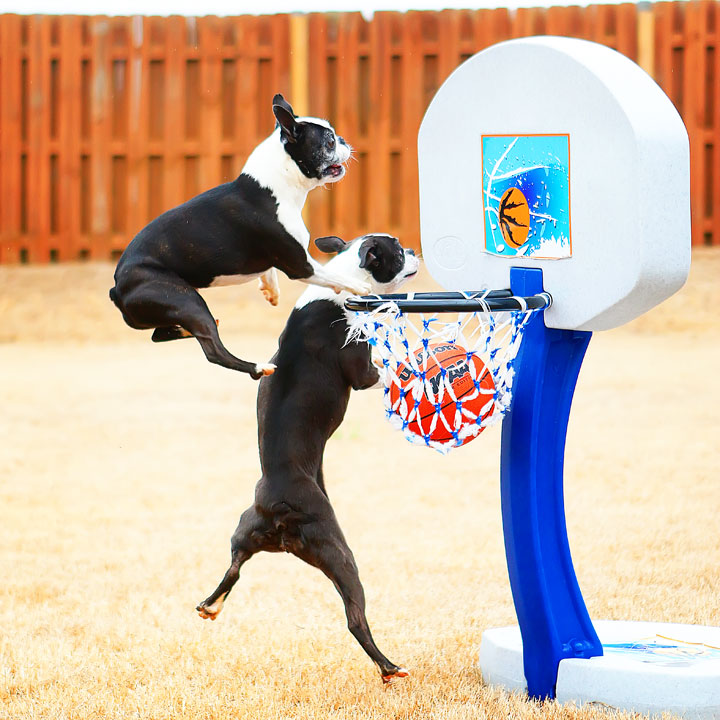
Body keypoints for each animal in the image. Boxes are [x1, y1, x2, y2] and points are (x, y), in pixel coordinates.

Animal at [109, 94, 368, 382]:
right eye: (330, 141)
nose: (344, 140)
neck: (277, 187)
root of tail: (117, 286)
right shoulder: (301, 266)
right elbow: (337, 276)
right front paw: (360, 287)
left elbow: (268, 270)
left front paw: (270, 289)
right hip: (187, 300)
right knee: (213, 350)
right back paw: (257, 367)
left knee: (160, 334)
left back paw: (184, 330)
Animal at [198, 233, 422, 684]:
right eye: (396, 250)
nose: (414, 251)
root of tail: (278, 506)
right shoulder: (361, 373)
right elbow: (386, 366)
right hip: (339, 553)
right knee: (355, 618)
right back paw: (390, 667)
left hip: (245, 532)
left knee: (234, 567)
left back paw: (210, 605)